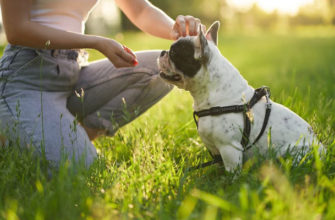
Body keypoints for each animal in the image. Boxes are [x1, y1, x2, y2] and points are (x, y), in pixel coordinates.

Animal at [158, 21, 326, 172]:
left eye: (174, 53)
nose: (162, 52)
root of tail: (323, 150)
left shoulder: (230, 149)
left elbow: (232, 173)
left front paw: (229, 183)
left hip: (291, 152)